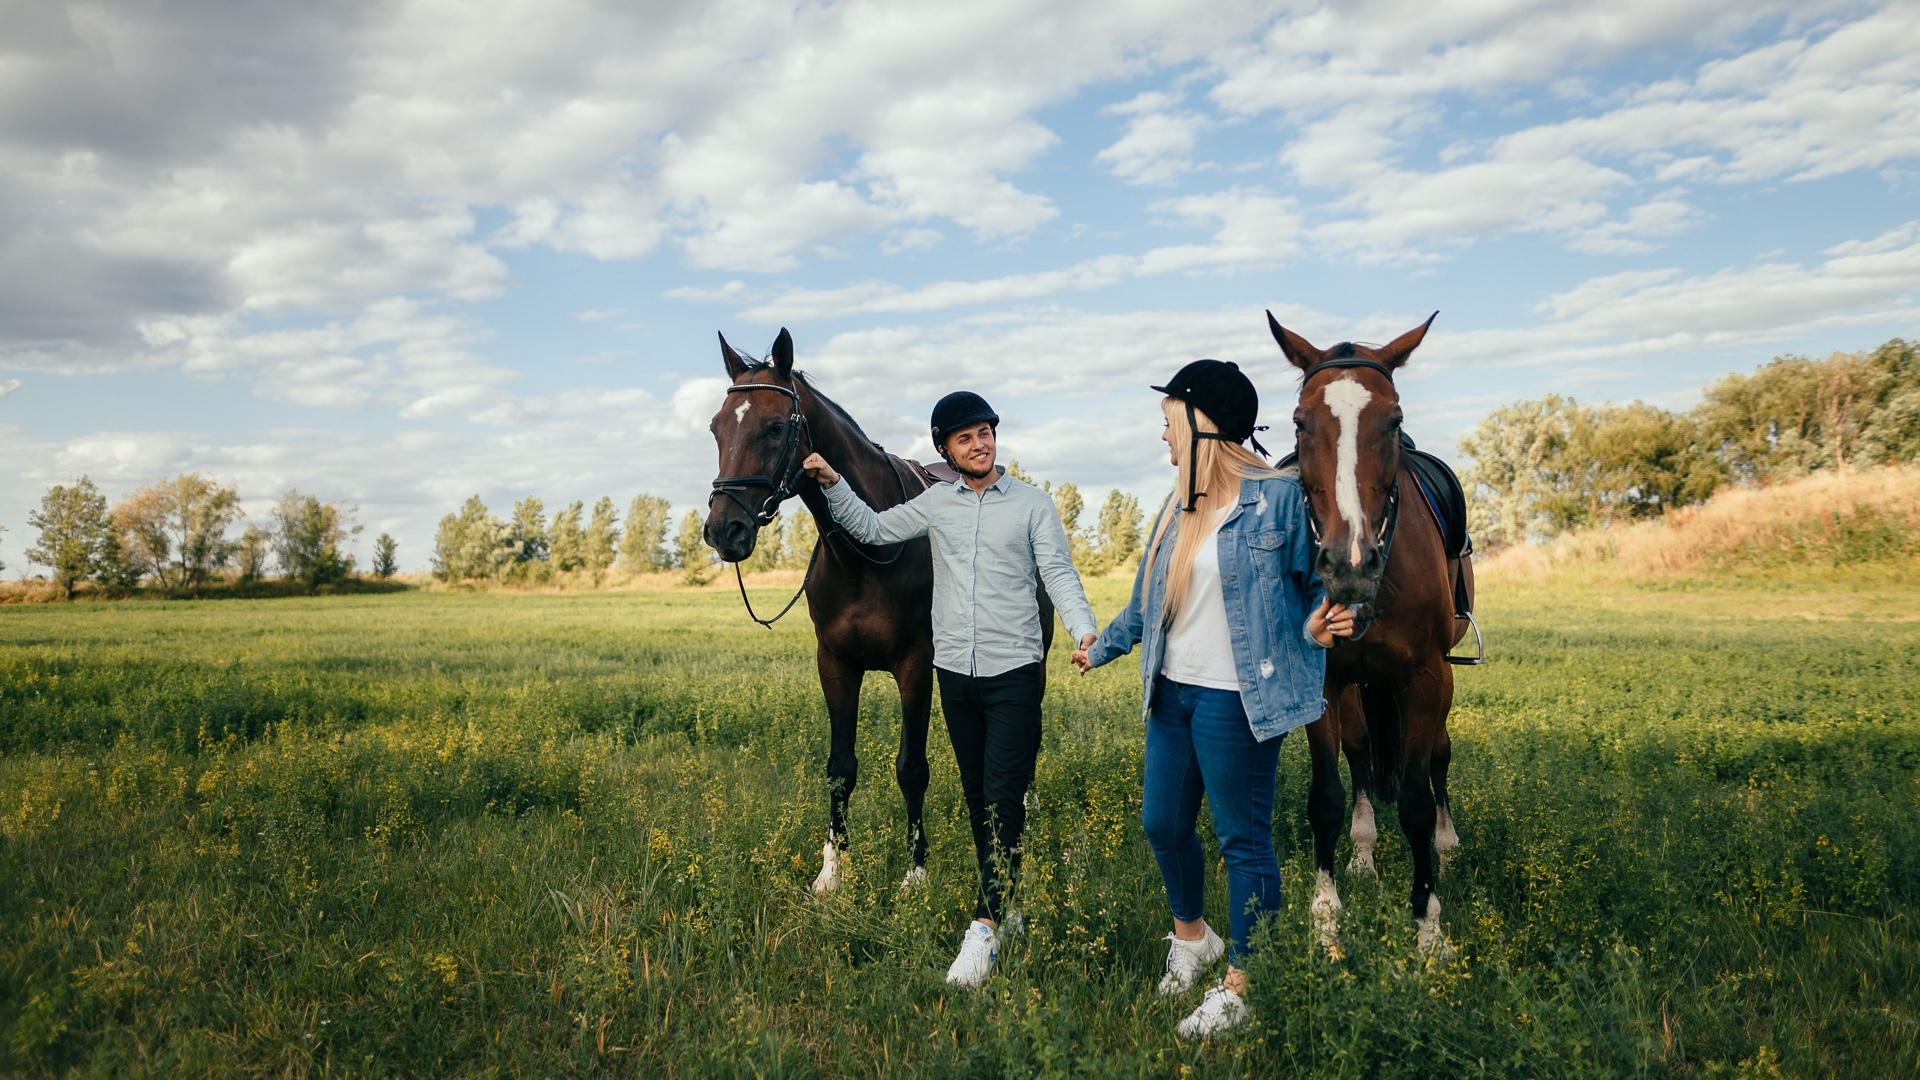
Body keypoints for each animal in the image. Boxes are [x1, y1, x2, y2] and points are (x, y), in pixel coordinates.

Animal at [1274, 311, 1466, 949]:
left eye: (1394, 420)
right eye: (1300, 423)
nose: (1348, 564)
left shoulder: (1427, 680)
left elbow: (1415, 798)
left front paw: (1429, 925)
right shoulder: (1325, 684)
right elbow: (1327, 798)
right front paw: (1325, 915)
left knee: (1438, 757)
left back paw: (1447, 846)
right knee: (1359, 754)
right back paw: (1362, 854)